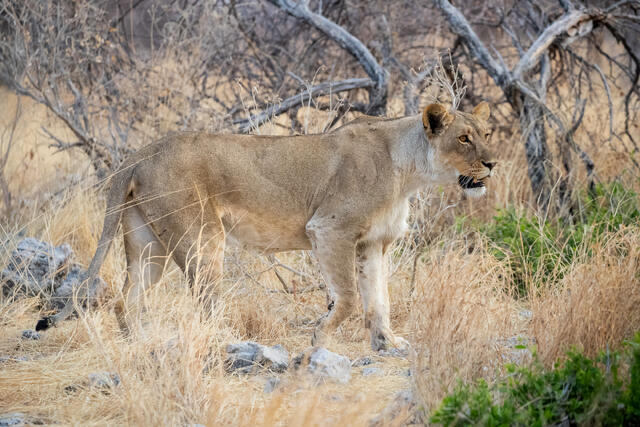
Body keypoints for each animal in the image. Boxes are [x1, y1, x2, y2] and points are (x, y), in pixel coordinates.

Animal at [36, 102, 496, 351]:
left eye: (487, 133)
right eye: (464, 138)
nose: (493, 163)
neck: (409, 169)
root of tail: (140, 152)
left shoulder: (373, 244)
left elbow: (379, 300)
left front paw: (387, 344)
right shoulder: (329, 229)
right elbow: (349, 299)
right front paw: (319, 340)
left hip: (149, 243)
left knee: (125, 300)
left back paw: (140, 345)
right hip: (202, 237)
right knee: (205, 303)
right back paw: (234, 345)